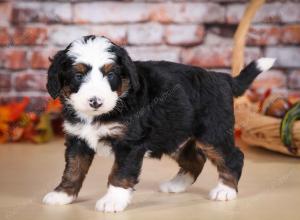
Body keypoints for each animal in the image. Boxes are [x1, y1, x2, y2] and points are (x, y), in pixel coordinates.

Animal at [42, 35, 276, 212]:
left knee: (233, 157)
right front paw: (62, 194)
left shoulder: (130, 143)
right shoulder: (78, 139)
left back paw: (225, 190)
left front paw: (112, 201)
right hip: (174, 134)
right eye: (78, 75)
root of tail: (224, 78)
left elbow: (120, 173)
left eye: (110, 74)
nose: (95, 101)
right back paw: (176, 185)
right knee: (195, 159)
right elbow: (73, 169)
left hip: (213, 132)